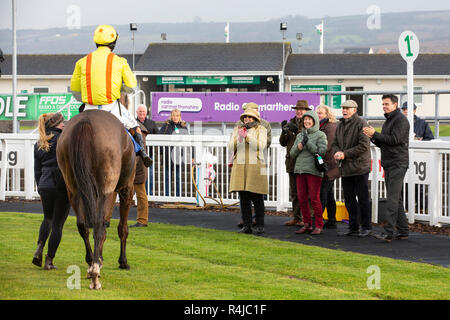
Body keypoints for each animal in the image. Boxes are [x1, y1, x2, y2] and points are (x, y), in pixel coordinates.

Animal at [55, 110, 135, 290]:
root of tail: (85, 122)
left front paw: (99, 258)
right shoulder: (126, 188)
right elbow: (122, 228)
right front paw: (123, 262)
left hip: (73, 187)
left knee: (83, 225)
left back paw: (91, 262)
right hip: (105, 185)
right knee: (99, 227)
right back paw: (95, 274)